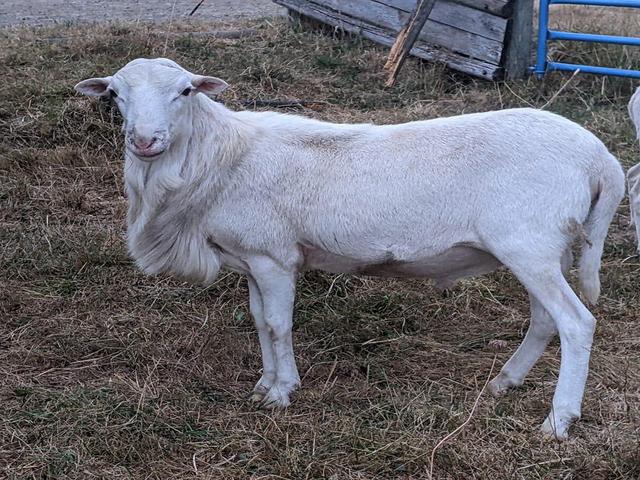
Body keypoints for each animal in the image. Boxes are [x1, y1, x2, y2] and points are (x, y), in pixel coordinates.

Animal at [75, 58, 625, 440]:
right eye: (115, 95)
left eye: (185, 91)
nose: (144, 140)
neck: (221, 156)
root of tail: (601, 159)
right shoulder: (252, 258)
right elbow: (259, 321)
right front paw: (264, 385)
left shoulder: (274, 256)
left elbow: (278, 324)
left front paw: (282, 393)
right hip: (543, 249)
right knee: (545, 320)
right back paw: (504, 383)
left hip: (528, 244)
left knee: (576, 323)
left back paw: (557, 422)